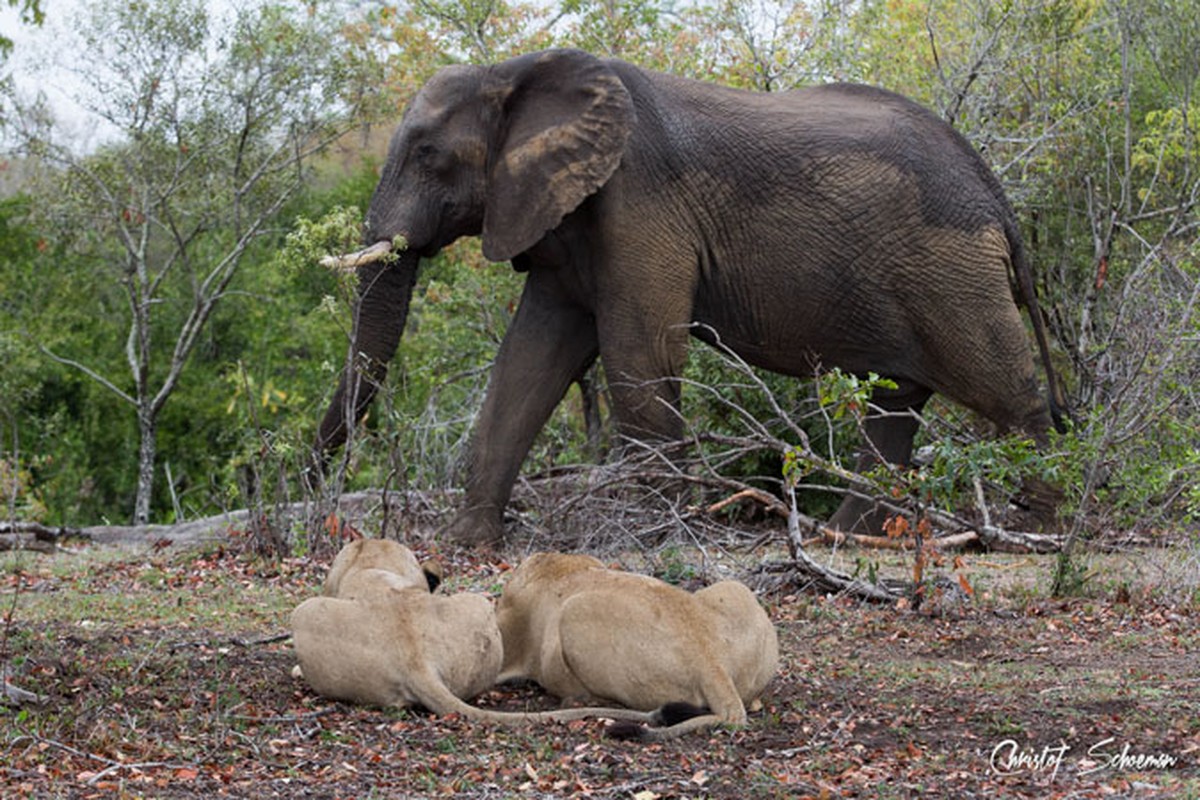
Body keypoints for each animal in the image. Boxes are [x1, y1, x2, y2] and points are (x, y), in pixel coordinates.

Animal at [314, 47, 1065, 546]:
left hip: (953, 272)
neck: (512, 72)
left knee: (1005, 393)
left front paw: (657, 541)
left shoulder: (640, 201)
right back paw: (842, 539)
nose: (317, 484)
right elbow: (528, 363)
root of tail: (998, 196)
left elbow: (636, 358)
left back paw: (1036, 531)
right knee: (895, 405)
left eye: (427, 153)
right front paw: (468, 545)